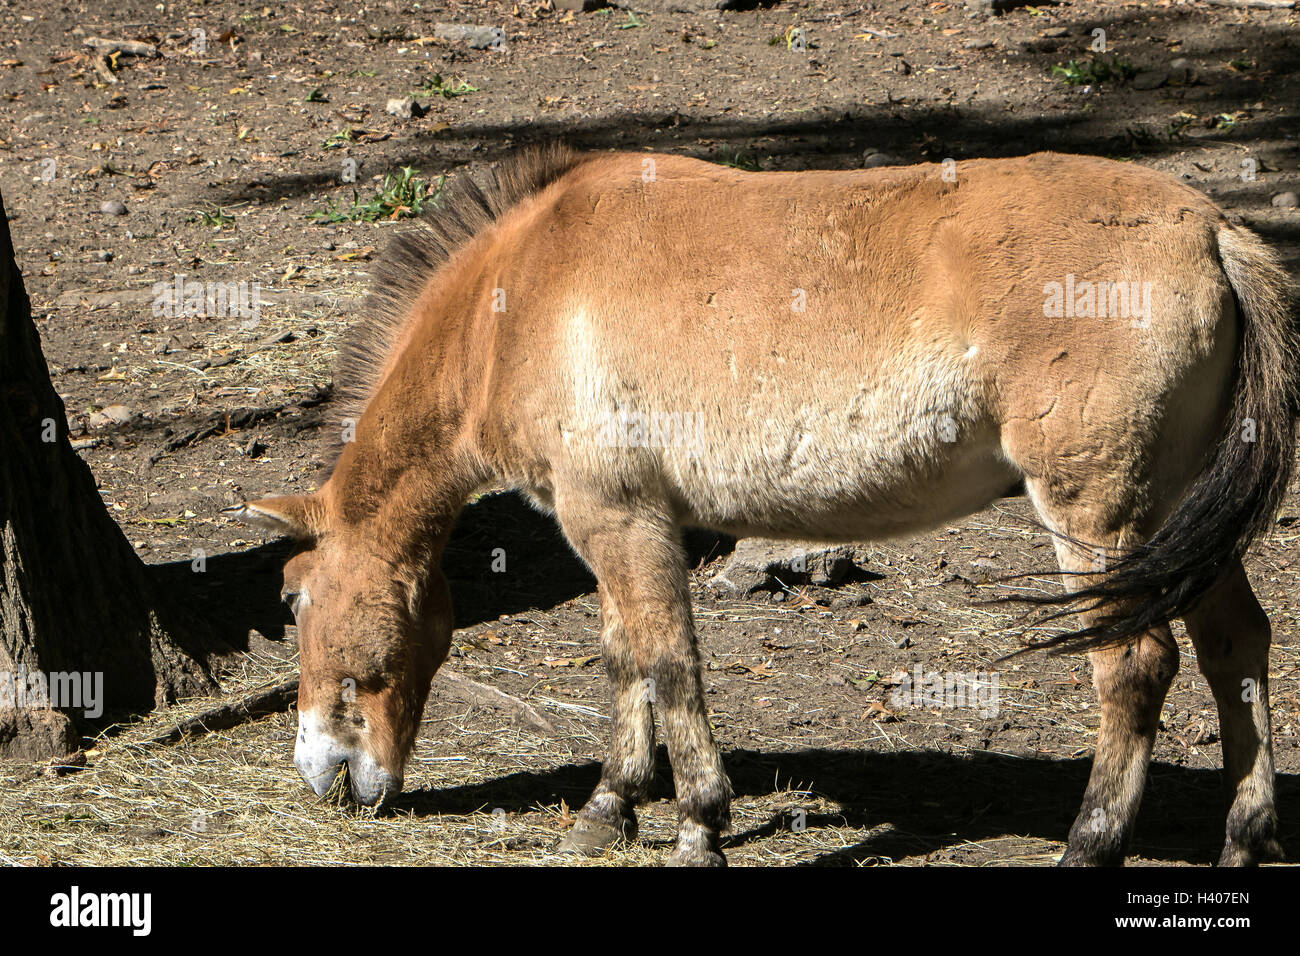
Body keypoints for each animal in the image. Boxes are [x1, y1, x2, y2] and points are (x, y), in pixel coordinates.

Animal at [233, 147, 1300, 868]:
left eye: (290, 598)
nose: (324, 774)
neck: (519, 296)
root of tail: (1209, 229)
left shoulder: (623, 522)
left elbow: (669, 665)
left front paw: (698, 824)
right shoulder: (611, 525)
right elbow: (626, 661)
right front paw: (609, 808)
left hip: (1097, 516)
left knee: (1136, 665)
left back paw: (1089, 841)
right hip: (1176, 519)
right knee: (1235, 645)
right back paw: (1246, 837)